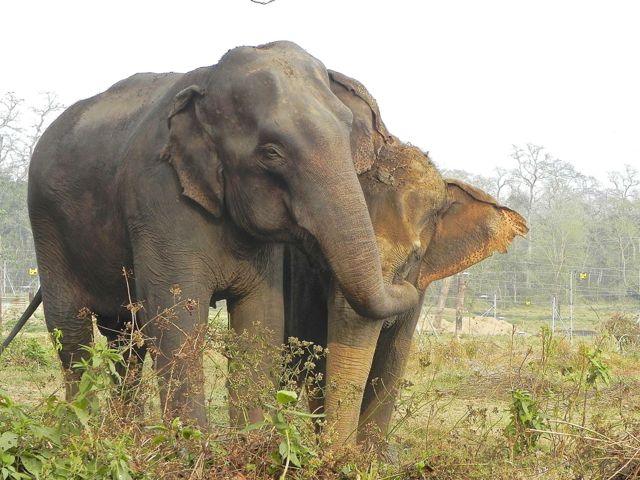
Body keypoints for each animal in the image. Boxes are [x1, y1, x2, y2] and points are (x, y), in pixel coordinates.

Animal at [26, 40, 416, 424]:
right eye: (272, 152)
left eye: (348, 133)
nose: (409, 282)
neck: (208, 83)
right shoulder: (159, 196)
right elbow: (176, 318)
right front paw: (189, 442)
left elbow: (263, 316)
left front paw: (255, 437)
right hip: (46, 224)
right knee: (70, 330)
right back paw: (80, 428)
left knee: (124, 338)